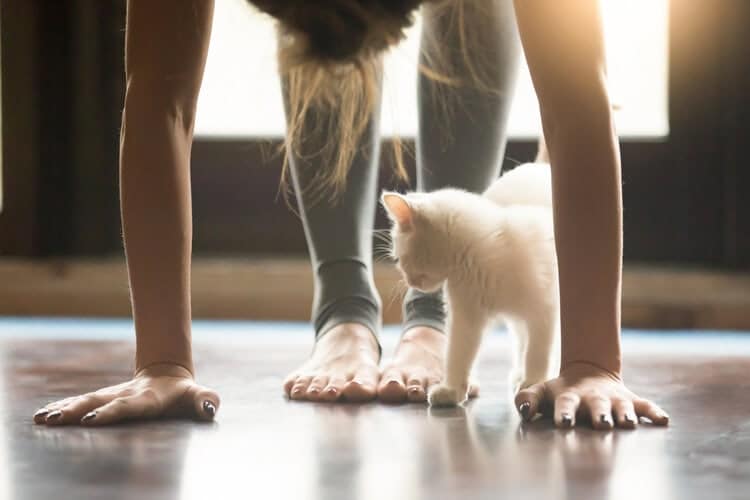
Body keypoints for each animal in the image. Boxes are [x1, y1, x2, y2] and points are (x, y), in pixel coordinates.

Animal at [384, 159, 560, 406]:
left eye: (399, 258)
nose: (410, 281)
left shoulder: (545, 309)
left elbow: (539, 350)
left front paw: (534, 382)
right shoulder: (466, 315)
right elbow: (459, 352)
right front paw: (452, 390)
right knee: (520, 339)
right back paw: (518, 373)